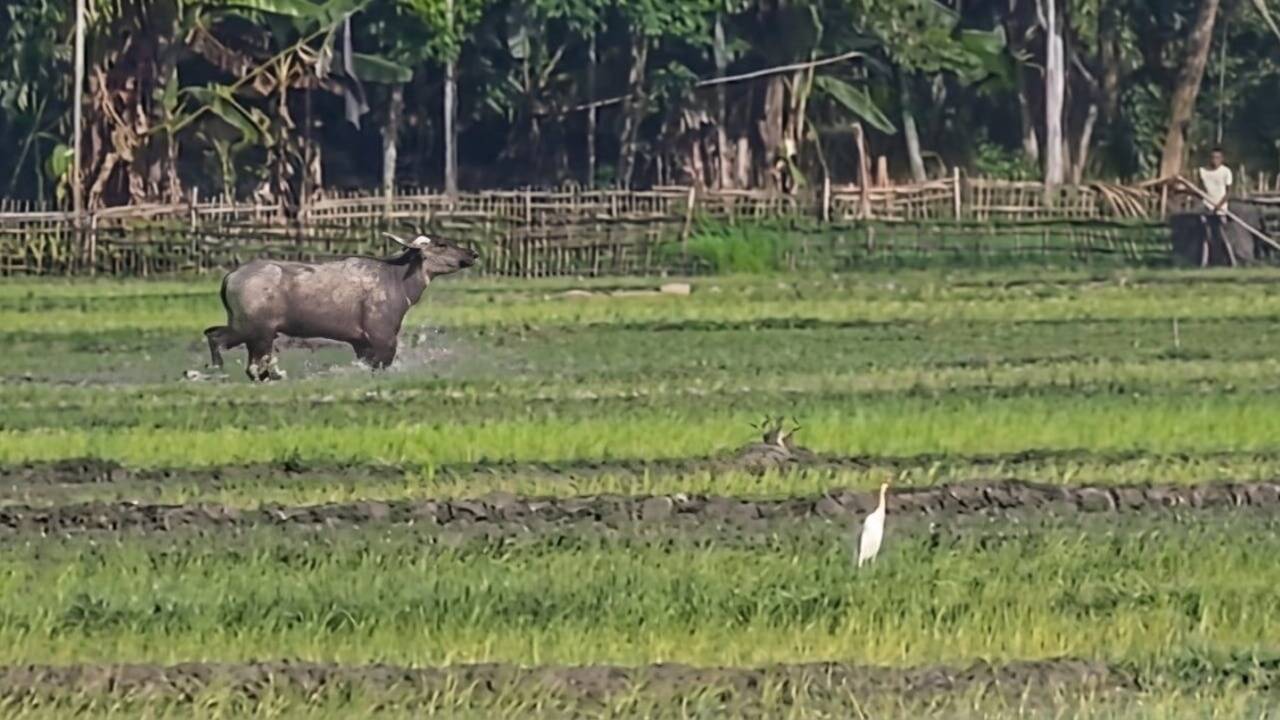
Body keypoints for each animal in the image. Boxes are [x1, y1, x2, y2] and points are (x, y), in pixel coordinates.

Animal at [204, 233, 478, 381]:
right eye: (441, 244)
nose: (472, 254)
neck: (400, 283)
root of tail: (230, 277)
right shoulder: (382, 337)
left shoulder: (361, 342)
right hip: (254, 329)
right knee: (222, 343)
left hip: (252, 330)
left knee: (224, 341)